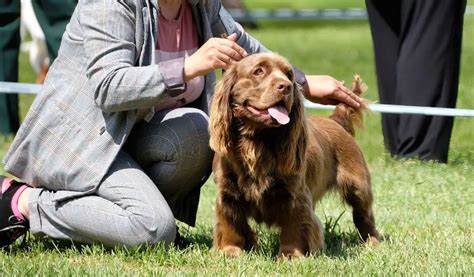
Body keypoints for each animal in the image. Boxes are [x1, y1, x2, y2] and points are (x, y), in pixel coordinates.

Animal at [209, 51, 380, 256]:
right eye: (258, 71)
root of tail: (336, 120)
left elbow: (294, 227)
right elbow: (230, 224)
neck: (256, 142)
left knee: (364, 216)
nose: (286, 87)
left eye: (289, 74)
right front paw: (230, 252)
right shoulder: (227, 193)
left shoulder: (296, 195)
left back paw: (373, 243)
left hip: (359, 186)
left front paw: (291, 255)